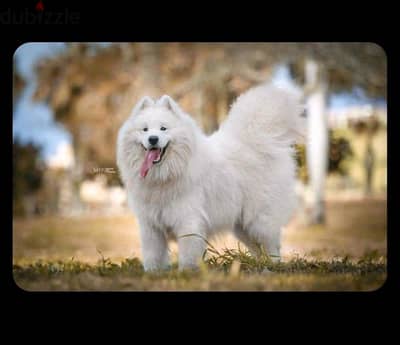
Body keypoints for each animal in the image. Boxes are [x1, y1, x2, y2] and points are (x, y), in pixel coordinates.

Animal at [117, 82, 304, 270]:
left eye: (163, 128)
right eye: (145, 129)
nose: (153, 139)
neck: (164, 176)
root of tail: (258, 141)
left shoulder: (188, 220)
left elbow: (187, 253)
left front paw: (186, 272)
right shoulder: (150, 226)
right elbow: (152, 254)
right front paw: (153, 272)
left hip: (260, 219)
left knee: (272, 245)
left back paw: (273, 266)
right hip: (242, 225)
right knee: (257, 248)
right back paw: (257, 265)